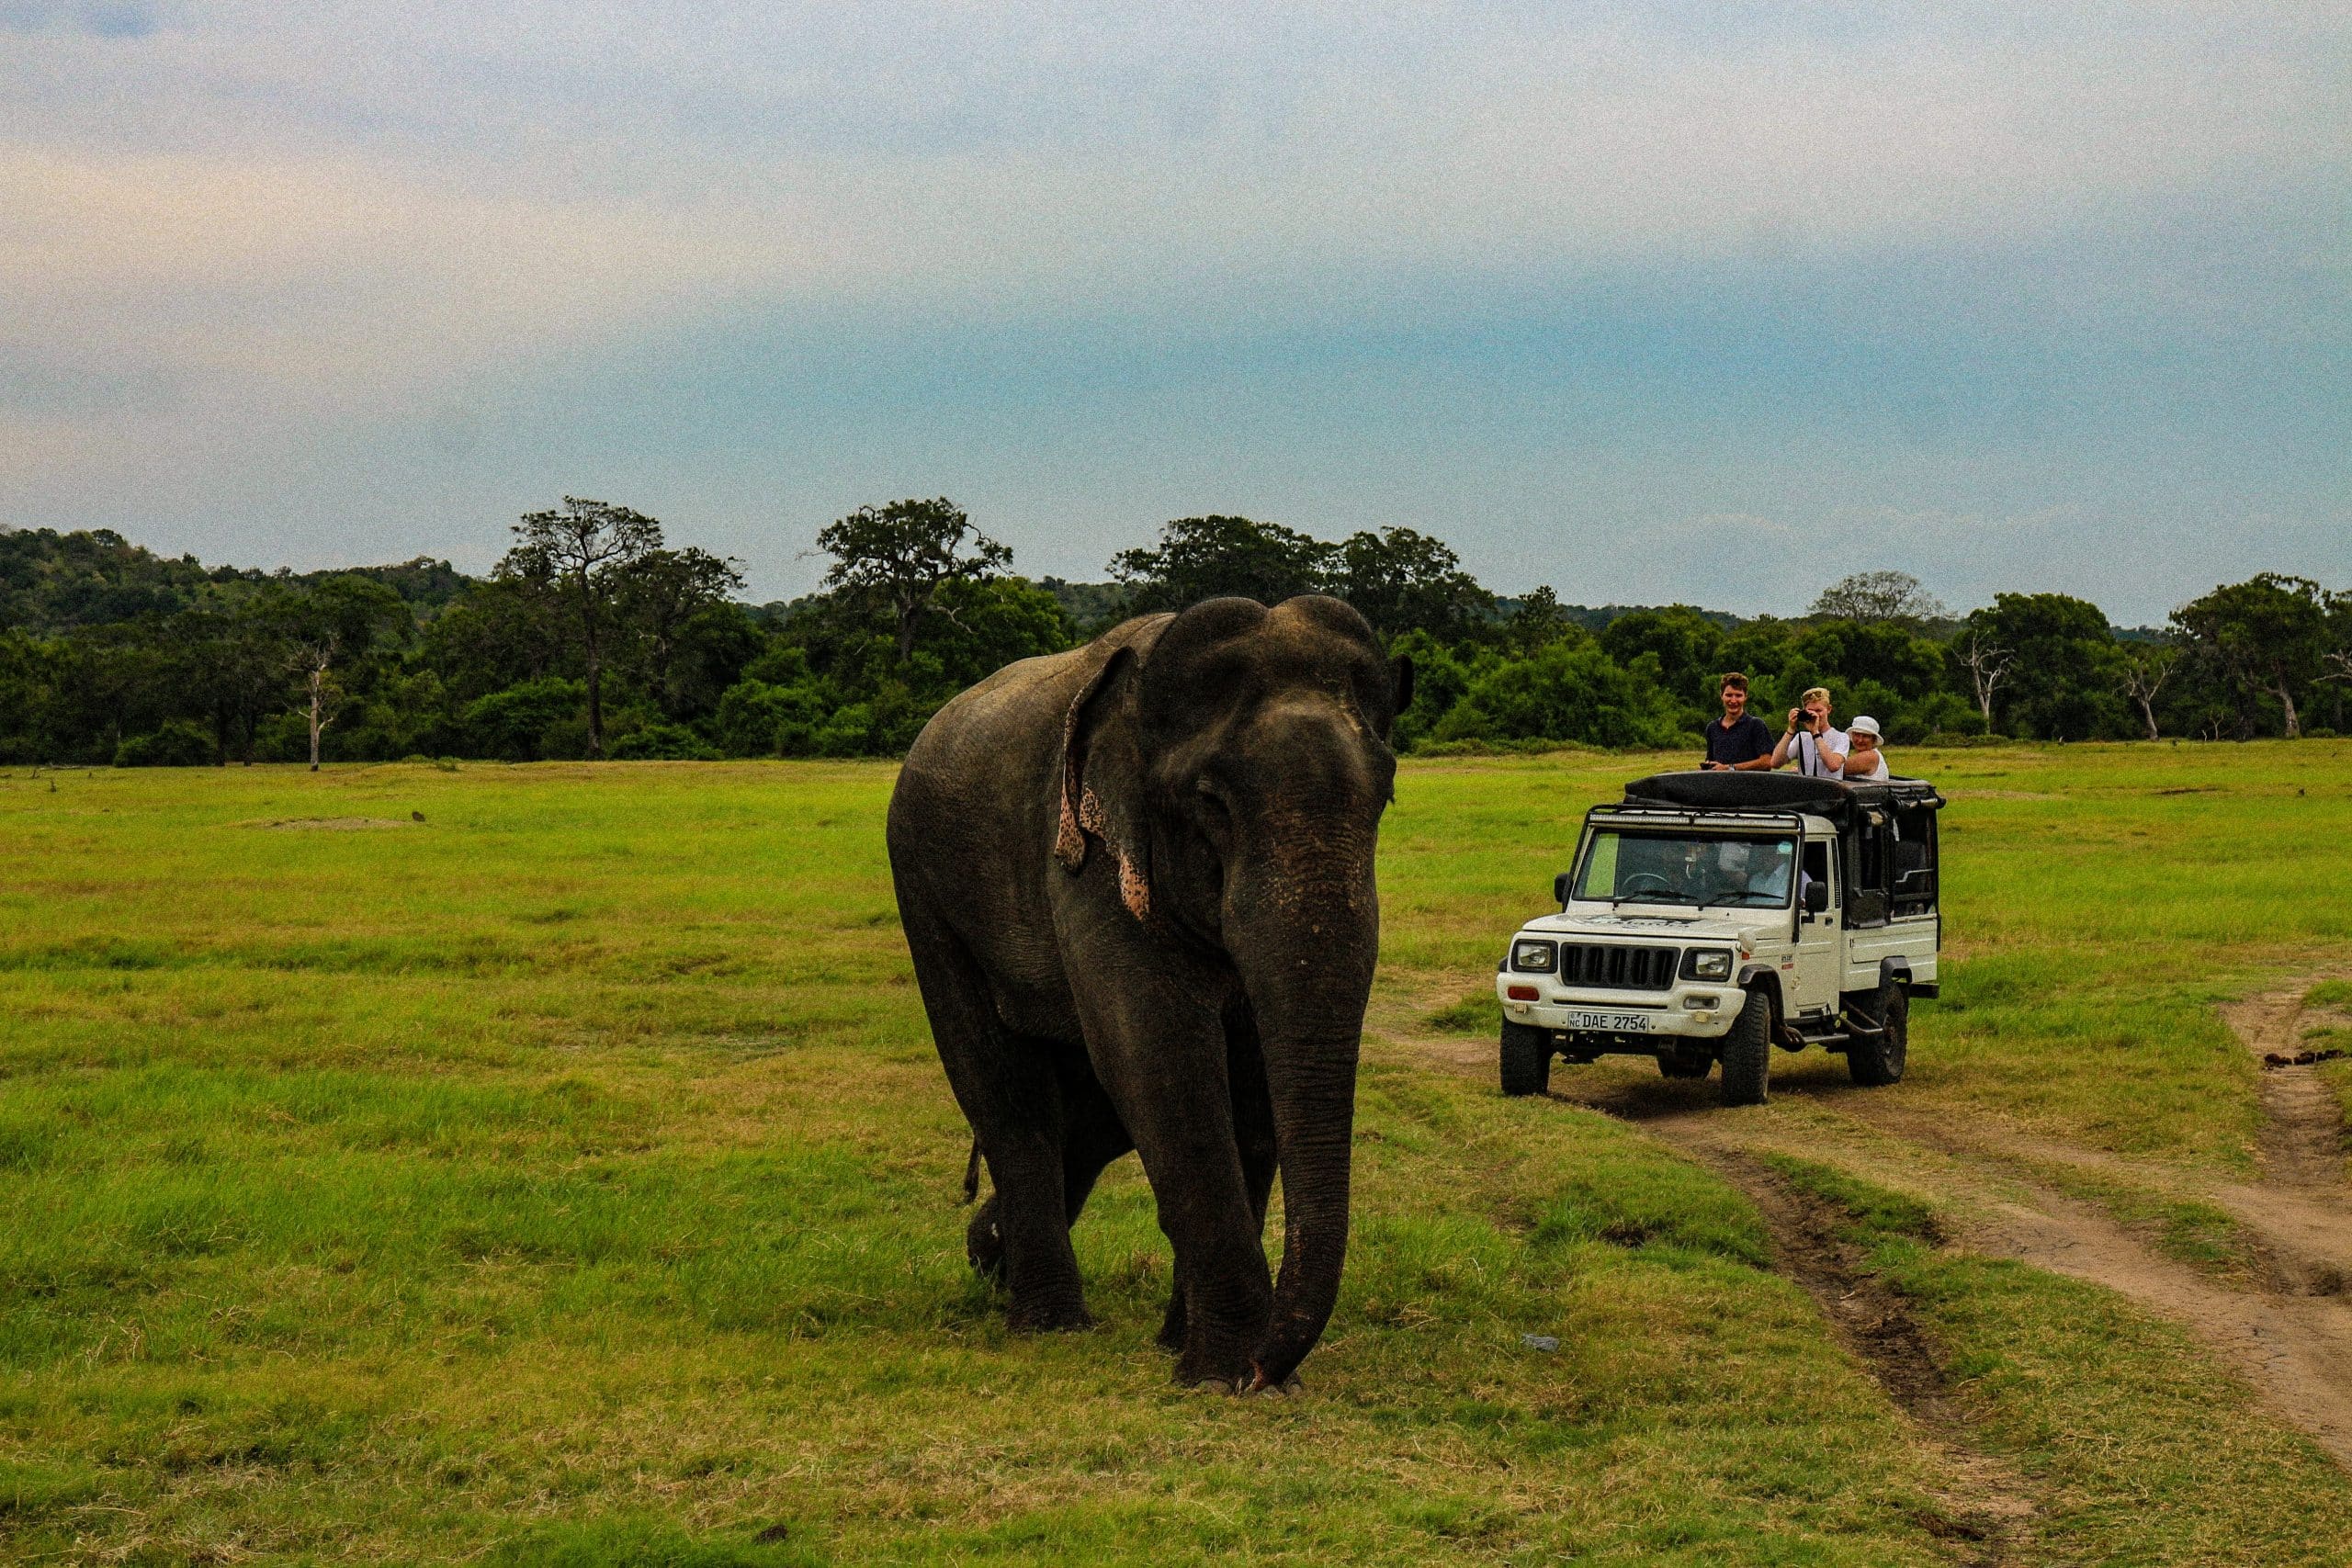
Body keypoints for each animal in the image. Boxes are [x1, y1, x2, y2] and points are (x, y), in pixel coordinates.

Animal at [888, 594, 1411, 1392]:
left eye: (1385, 796)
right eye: (1212, 803)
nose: (1268, 1368)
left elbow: (1247, 1081)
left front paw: (1198, 1355)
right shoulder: (1091, 857)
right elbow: (1158, 1055)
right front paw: (1222, 1375)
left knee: (1085, 1112)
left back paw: (990, 1257)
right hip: (924, 890)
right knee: (1006, 1092)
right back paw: (1047, 1320)